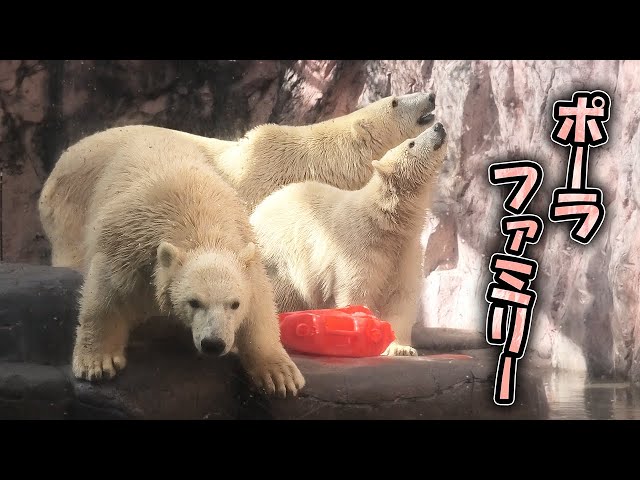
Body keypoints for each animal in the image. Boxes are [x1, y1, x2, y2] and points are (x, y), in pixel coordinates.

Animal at [72, 131, 305, 398]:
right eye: (193, 302)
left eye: (234, 304)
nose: (213, 344)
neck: (197, 223)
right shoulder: (129, 246)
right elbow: (106, 293)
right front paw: (97, 363)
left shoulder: (244, 246)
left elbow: (259, 307)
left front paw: (280, 375)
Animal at [249, 122, 448, 357]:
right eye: (411, 143)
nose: (439, 126)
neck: (385, 222)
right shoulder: (359, 246)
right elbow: (357, 291)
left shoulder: (406, 252)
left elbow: (401, 298)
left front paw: (401, 347)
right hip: (281, 259)